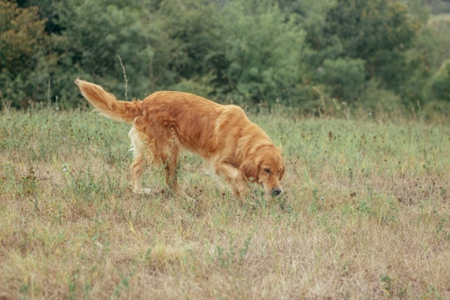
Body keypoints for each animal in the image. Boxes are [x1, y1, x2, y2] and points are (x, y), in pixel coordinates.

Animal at [74, 79, 284, 200]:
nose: (277, 191)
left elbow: (236, 180)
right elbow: (239, 175)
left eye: (279, 172)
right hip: (169, 151)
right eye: (266, 170)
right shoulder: (217, 163)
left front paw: (241, 198)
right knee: (170, 180)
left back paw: (140, 192)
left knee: (135, 168)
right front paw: (246, 193)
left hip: (152, 151)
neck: (242, 135)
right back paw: (185, 198)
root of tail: (143, 104)